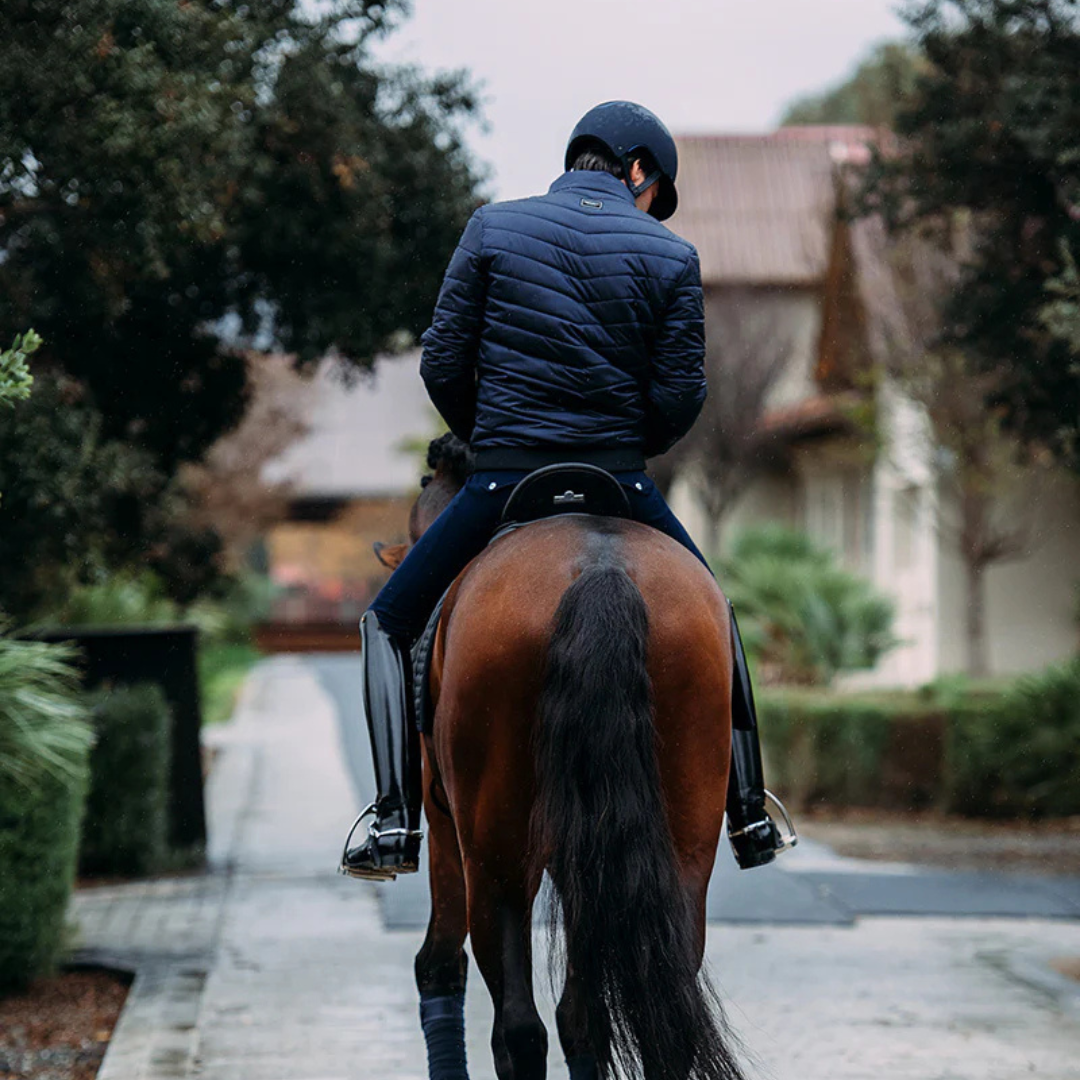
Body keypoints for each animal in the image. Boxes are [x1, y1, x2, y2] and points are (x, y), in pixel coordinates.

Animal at [378, 434, 743, 1075]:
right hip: (679, 850)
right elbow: (583, 1016)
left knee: (518, 1028)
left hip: (496, 859)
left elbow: (438, 964)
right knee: (648, 1019)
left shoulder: (447, 826)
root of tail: (600, 569)